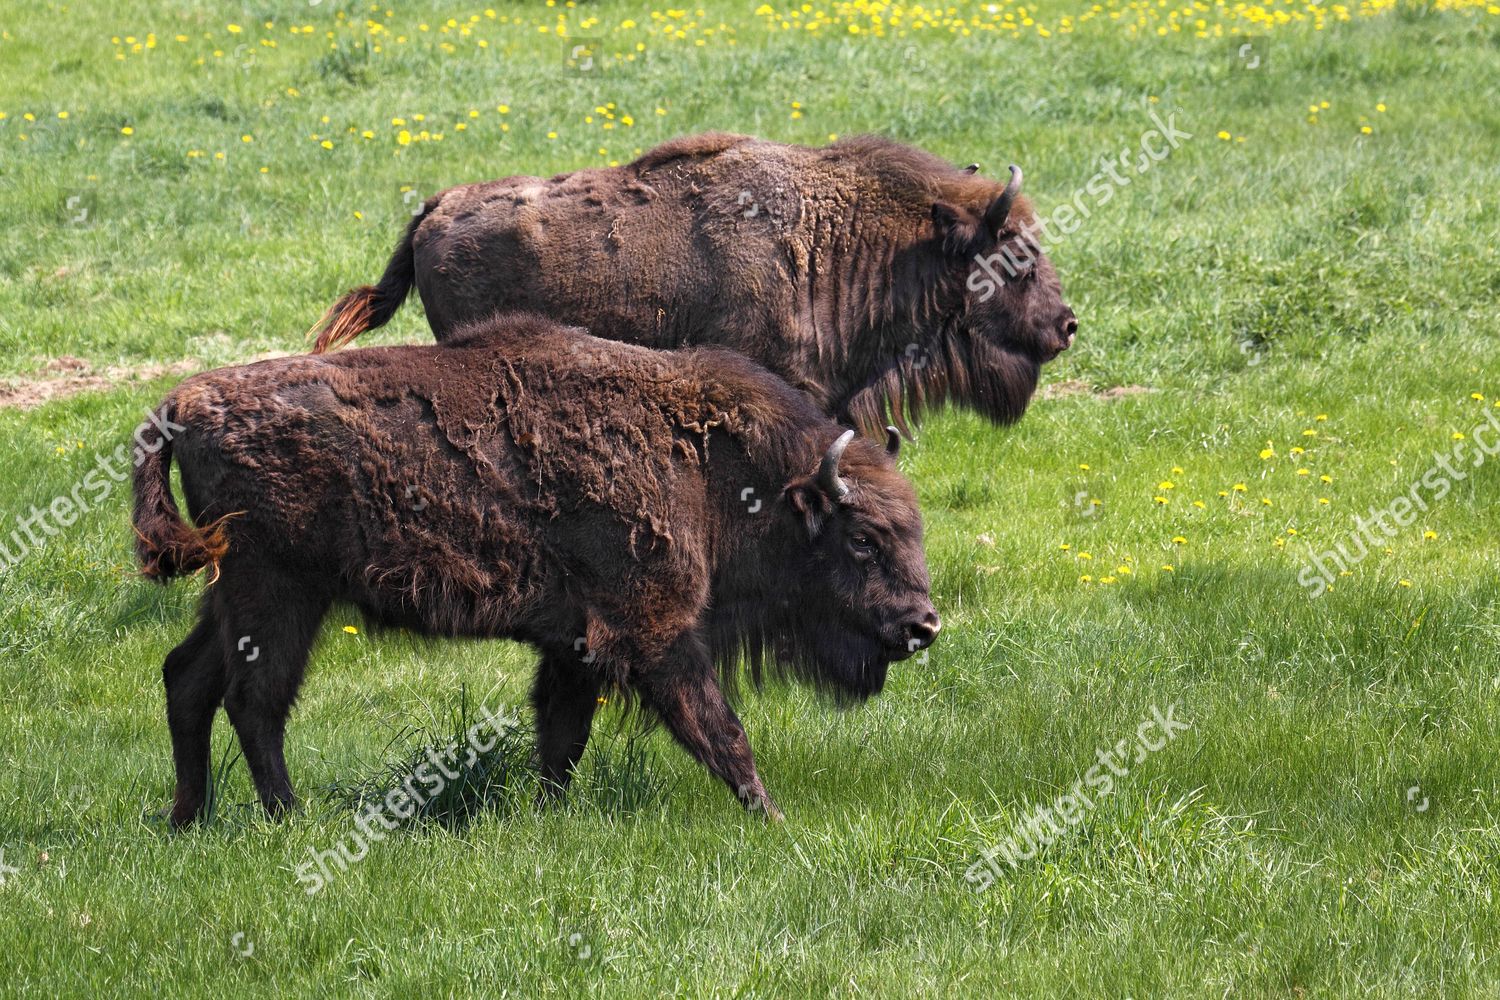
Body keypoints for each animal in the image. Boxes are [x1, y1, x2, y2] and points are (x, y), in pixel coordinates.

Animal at [138, 313, 936, 827]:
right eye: (862, 540)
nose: (922, 625)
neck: (711, 466)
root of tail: (180, 405)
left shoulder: (576, 644)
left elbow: (562, 736)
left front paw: (549, 814)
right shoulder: (655, 633)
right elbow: (719, 728)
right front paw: (772, 819)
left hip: (230, 595)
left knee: (188, 678)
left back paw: (190, 818)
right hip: (278, 597)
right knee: (254, 701)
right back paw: (288, 820)